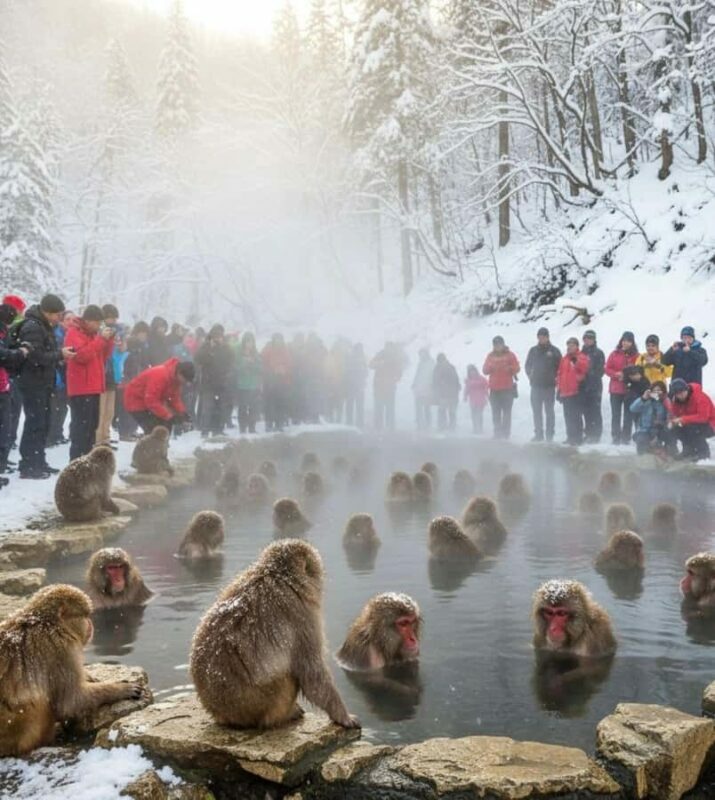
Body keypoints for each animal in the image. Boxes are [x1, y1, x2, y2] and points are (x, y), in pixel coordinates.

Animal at [0, 585, 144, 756]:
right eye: (84, 616)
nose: (91, 624)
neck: (52, 624)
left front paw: (89, 676)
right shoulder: (61, 651)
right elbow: (71, 701)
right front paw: (121, 688)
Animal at [190, 539, 359, 730]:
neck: (276, 574)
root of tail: (222, 714)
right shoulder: (303, 614)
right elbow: (312, 673)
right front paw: (344, 717)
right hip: (264, 702)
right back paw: (287, 715)